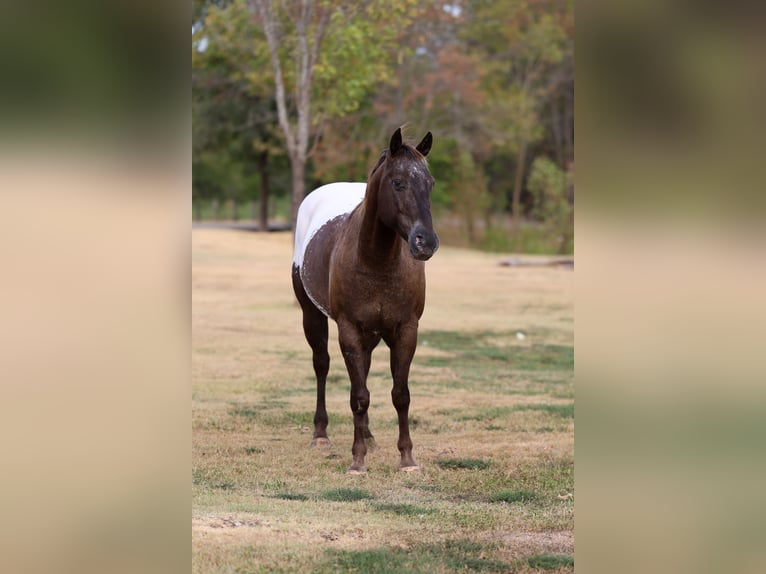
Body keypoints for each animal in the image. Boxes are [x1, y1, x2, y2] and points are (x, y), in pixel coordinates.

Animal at [291, 128, 439, 474]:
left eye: (430, 183)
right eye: (397, 182)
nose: (425, 242)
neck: (377, 261)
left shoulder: (406, 330)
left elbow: (400, 394)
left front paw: (407, 458)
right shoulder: (349, 329)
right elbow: (358, 395)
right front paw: (357, 461)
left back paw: (369, 435)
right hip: (312, 315)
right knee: (322, 364)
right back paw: (321, 434)